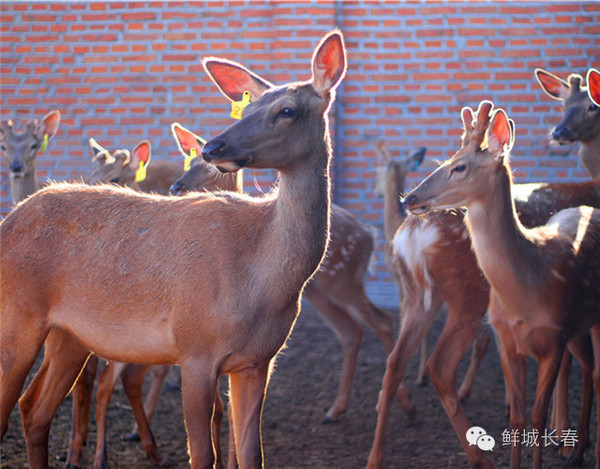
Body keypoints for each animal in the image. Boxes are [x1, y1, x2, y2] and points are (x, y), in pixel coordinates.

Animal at [0, 30, 346, 468]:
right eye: (249, 106)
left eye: (286, 109)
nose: (213, 147)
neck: (261, 283)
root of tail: (9, 219)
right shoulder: (194, 349)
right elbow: (203, 454)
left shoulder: (258, 362)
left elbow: (252, 454)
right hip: (17, 315)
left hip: (69, 336)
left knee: (34, 410)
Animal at [169, 122, 396, 422]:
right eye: (189, 162)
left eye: (208, 167)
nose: (175, 186)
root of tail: (369, 235)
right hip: (320, 291)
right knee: (350, 330)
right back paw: (337, 409)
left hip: (345, 280)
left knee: (382, 321)